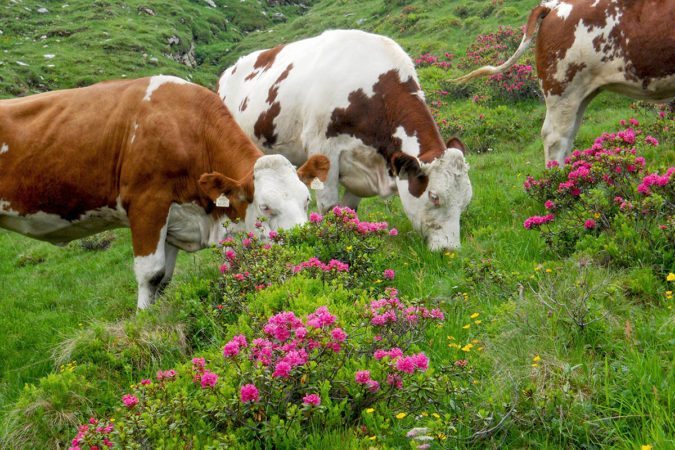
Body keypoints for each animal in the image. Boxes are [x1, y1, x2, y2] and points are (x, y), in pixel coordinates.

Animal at [0, 77, 330, 310]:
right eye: (265, 207)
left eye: (306, 200)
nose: (305, 242)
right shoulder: (147, 205)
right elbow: (151, 273)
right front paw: (140, 325)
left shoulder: (174, 218)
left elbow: (164, 278)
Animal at [219, 29, 472, 251]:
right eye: (434, 197)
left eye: (466, 201)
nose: (449, 249)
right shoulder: (323, 149)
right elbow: (330, 206)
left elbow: (349, 210)